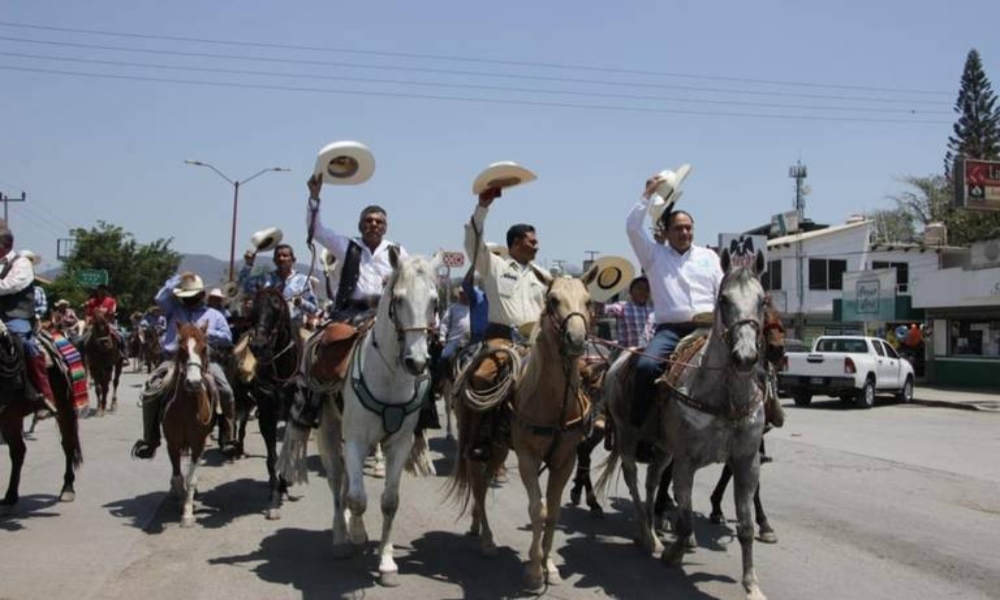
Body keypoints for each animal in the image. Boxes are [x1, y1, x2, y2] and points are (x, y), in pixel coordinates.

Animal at [0, 324, 82, 516]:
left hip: (64, 406)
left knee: (68, 444)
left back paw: (67, 488)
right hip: (10, 417)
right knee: (18, 452)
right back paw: (10, 496)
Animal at [163, 324, 216, 524]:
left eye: (204, 348)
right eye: (182, 349)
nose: (193, 383)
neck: (185, 407)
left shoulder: (197, 444)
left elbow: (191, 478)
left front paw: (187, 513)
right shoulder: (172, 444)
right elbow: (178, 477)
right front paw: (180, 502)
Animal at [280, 248, 440, 584]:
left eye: (434, 300)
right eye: (399, 298)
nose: (417, 362)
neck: (390, 377)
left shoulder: (399, 444)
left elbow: (389, 502)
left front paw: (387, 561)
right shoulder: (354, 439)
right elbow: (356, 498)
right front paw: (356, 534)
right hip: (329, 429)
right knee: (337, 481)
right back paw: (341, 538)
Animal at [596, 248, 768, 600]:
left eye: (762, 301)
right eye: (724, 300)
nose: (745, 356)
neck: (724, 398)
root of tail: (620, 359)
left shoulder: (747, 461)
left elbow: (745, 527)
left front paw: (752, 584)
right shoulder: (686, 462)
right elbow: (686, 518)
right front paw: (674, 553)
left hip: (663, 450)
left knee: (651, 482)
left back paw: (650, 529)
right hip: (628, 438)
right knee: (634, 481)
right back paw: (648, 536)